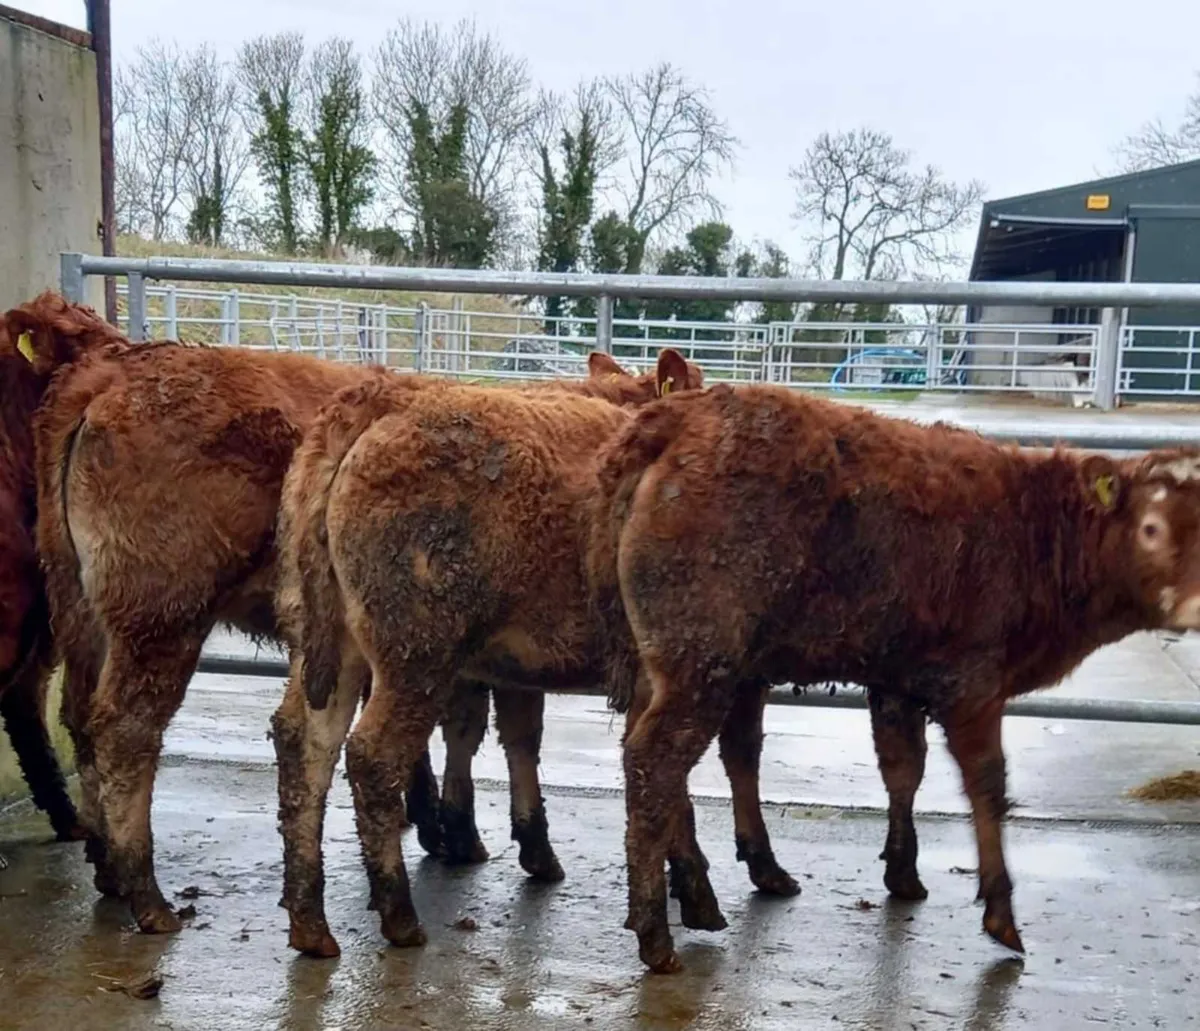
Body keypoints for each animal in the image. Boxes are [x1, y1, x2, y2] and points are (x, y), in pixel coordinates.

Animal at [592, 384, 1200, 969]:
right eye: (1150, 528)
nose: (1195, 607)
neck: (1036, 526)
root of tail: (678, 419)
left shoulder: (898, 679)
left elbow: (903, 768)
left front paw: (903, 872)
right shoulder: (975, 684)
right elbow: (987, 784)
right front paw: (1000, 911)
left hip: (671, 666)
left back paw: (702, 894)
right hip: (701, 665)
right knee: (654, 763)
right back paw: (657, 932)